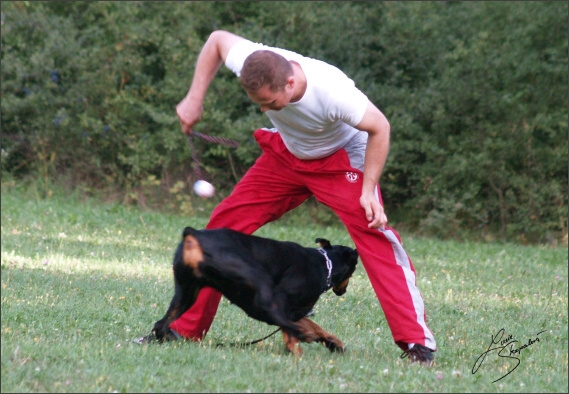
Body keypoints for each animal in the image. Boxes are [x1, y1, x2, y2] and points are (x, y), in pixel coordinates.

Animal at [149, 226, 358, 356]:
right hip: (256, 278)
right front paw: (299, 347)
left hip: (186, 293)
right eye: (355, 267)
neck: (324, 264)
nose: (344, 291)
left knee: (161, 324)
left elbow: (315, 326)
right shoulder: (282, 301)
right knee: (274, 315)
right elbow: (293, 329)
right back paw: (301, 336)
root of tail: (194, 236)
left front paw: (333, 343)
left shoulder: (294, 311)